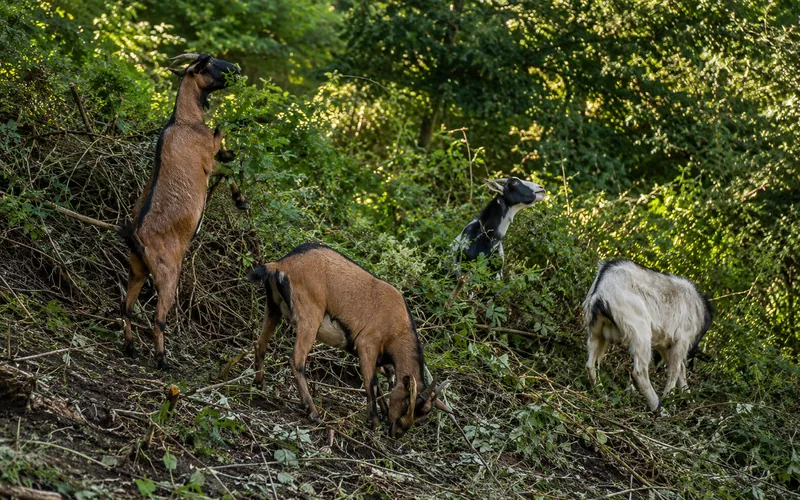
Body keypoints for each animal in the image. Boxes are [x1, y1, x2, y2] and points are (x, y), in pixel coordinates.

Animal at [119, 53, 241, 369]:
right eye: (211, 64)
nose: (235, 69)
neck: (185, 120)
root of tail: (137, 238)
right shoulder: (207, 161)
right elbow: (226, 149)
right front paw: (240, 200)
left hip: (137, 269)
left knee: (126, 306)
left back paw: (130, 348)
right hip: (168, 273)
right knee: (158, 317)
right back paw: (162, 359)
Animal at [247, 243, 452, 438]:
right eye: (407, 403)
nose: (397, 433)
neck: (398, 327)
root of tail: (280, 264)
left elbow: (381, 383)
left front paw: (384, 412)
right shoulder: (367, 345)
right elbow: (371, 383)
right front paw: (375, 422)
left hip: (273, 306)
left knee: (260, 345)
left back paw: (260, 384)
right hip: (310, 316)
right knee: (296, 360)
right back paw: (313, 412)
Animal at [583, 259, 713, 411]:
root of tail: (600, 293)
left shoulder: (666, 345)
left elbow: (680, 369)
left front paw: (685, 398)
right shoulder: (682, 340)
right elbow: (675, 371)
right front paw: (670, 400)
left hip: (596, 332)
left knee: (591, 364)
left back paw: (602, 395)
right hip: (640, 332)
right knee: (639, 371)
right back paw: (659, 408)